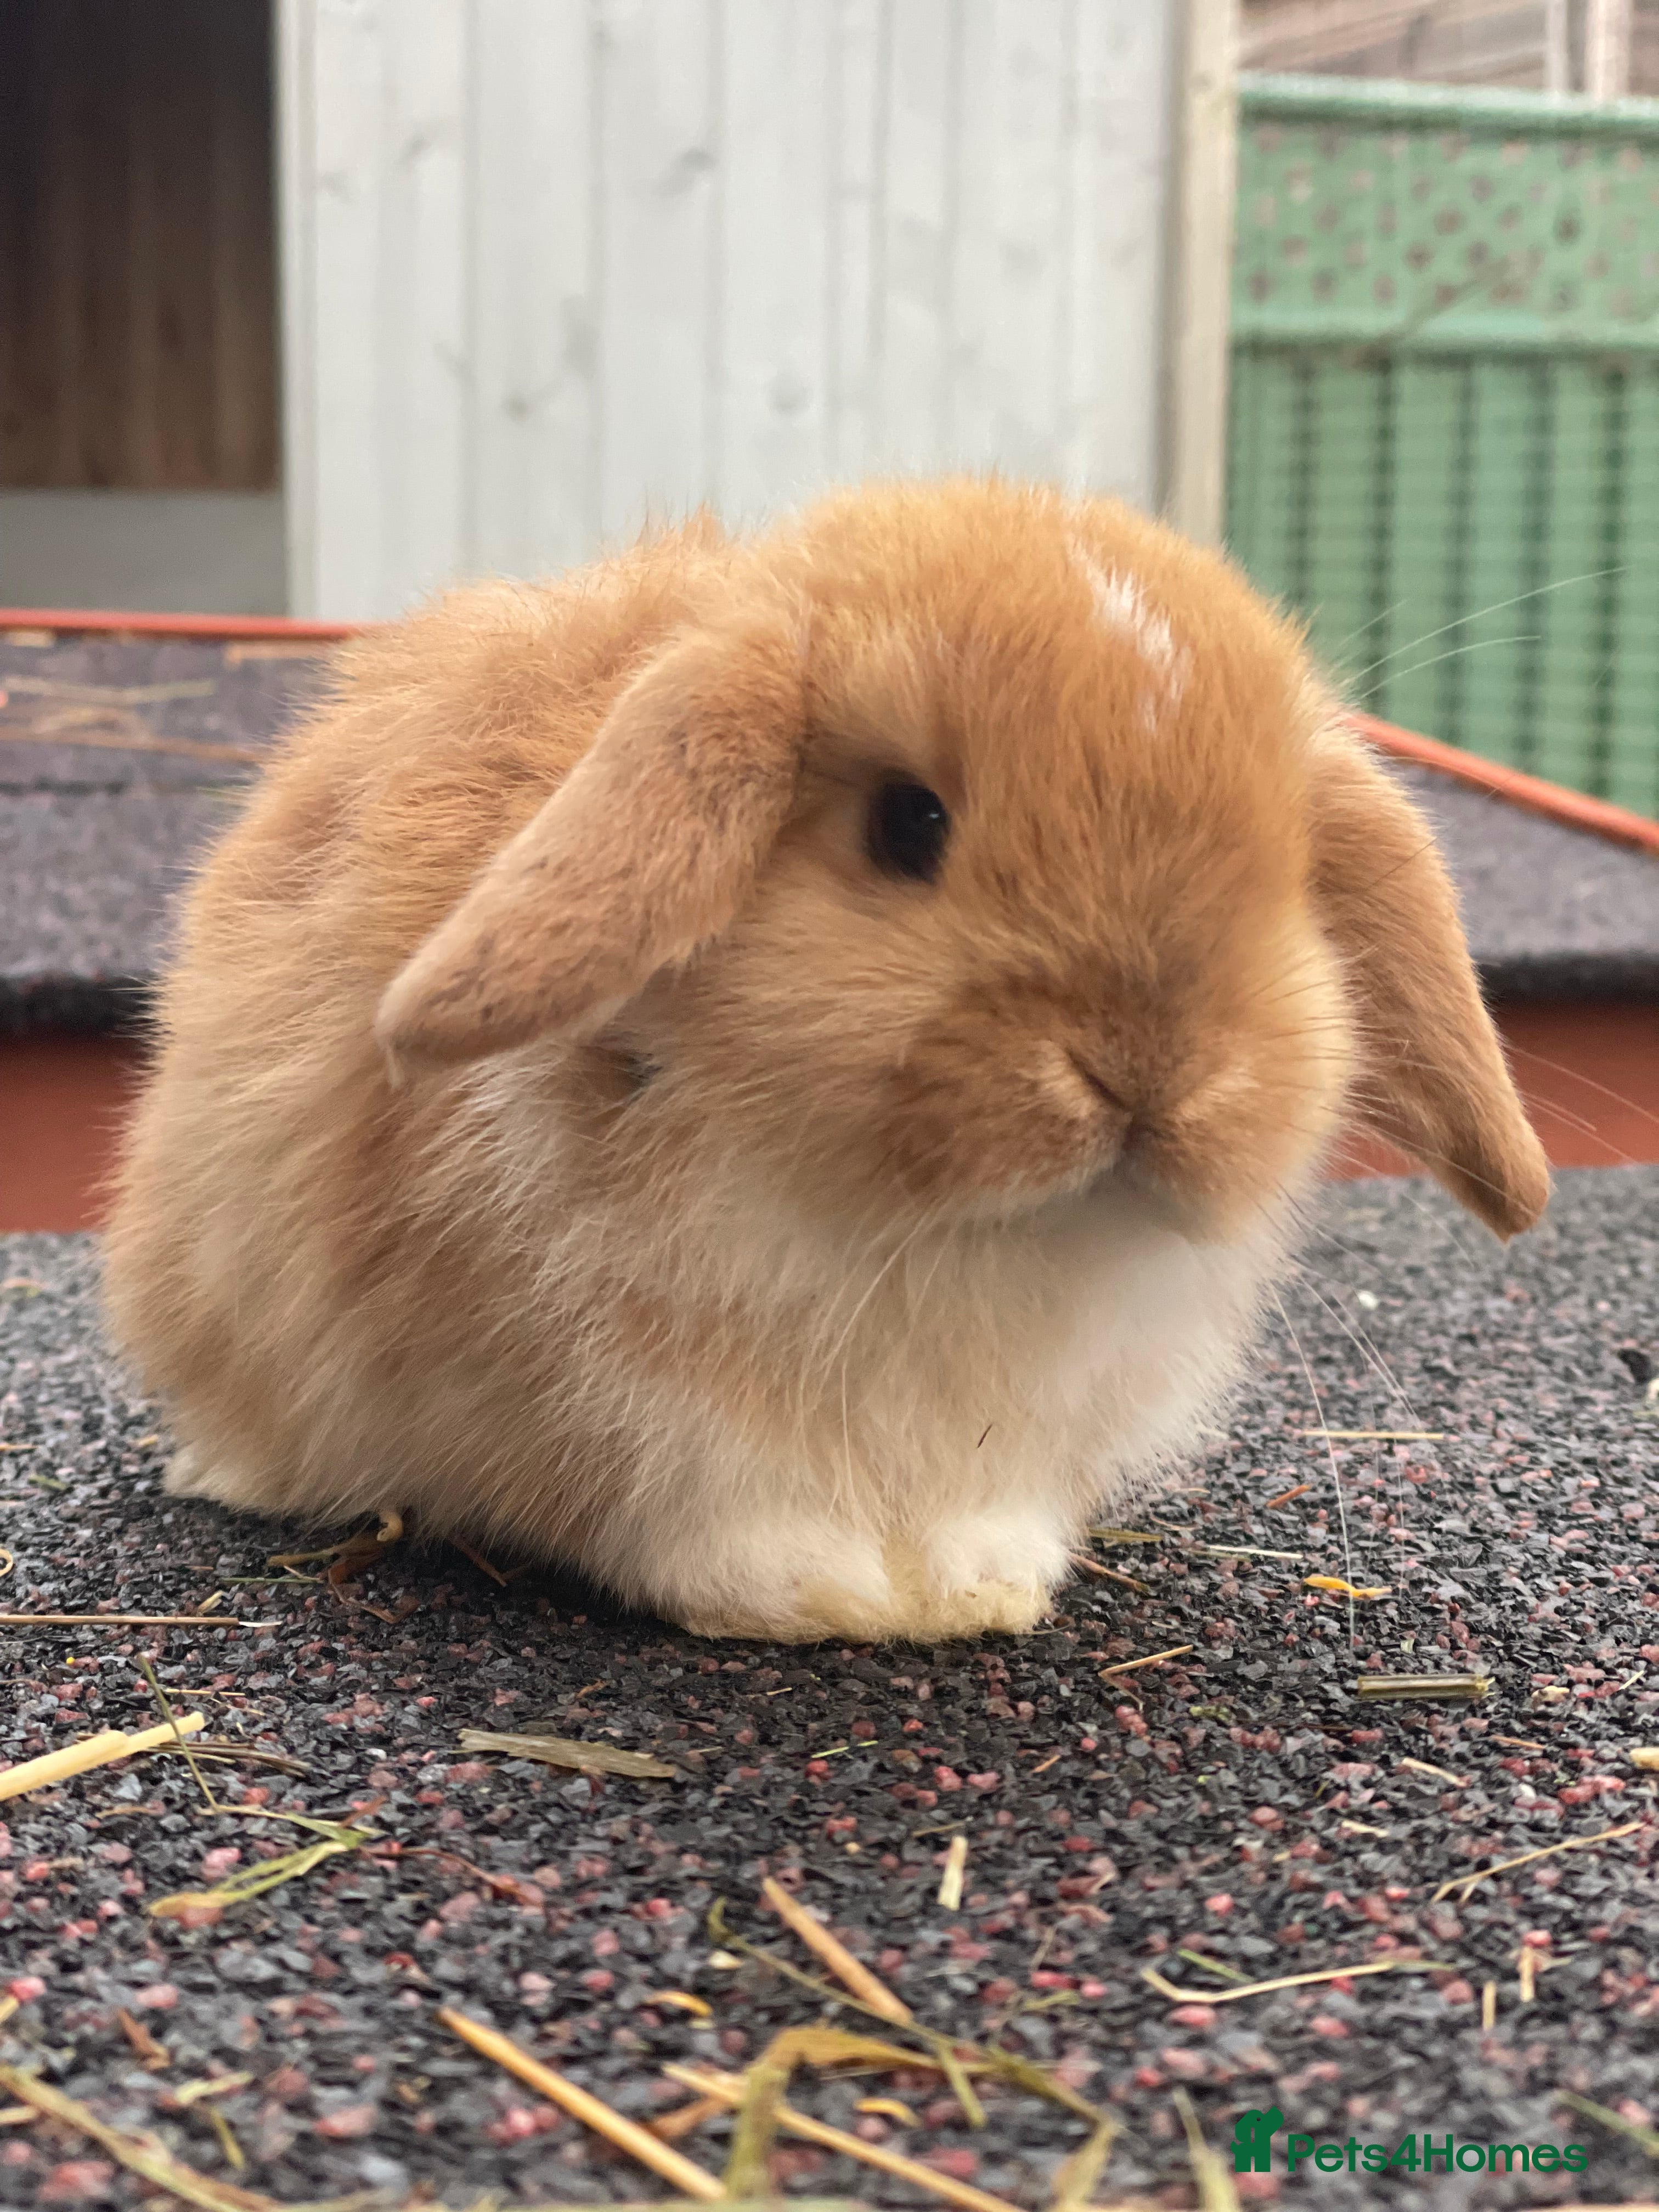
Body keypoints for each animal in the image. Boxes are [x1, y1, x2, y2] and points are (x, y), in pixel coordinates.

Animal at [102, 479, 1548, 1644]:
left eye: (1290, 881)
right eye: (910, 823)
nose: (1152, 1070)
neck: (937, 1233)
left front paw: (977, 1591)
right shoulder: (623, 1413)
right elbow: (700, 1516)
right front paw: (817, 1596)